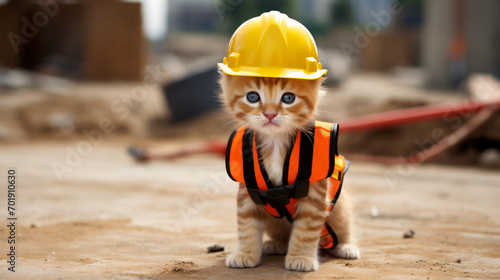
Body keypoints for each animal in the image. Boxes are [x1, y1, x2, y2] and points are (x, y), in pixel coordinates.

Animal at [219, 72, 360, 272]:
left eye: (288, 98)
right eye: (252, 97)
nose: (270, 114)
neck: (275, 143)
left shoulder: (314, 194)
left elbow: (307, 229)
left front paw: (301, 257)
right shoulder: (248, 191)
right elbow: (246, 223)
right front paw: (245, 253)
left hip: (339, 206)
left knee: (344, 224)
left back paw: (346, 246)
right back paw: (277, 243)